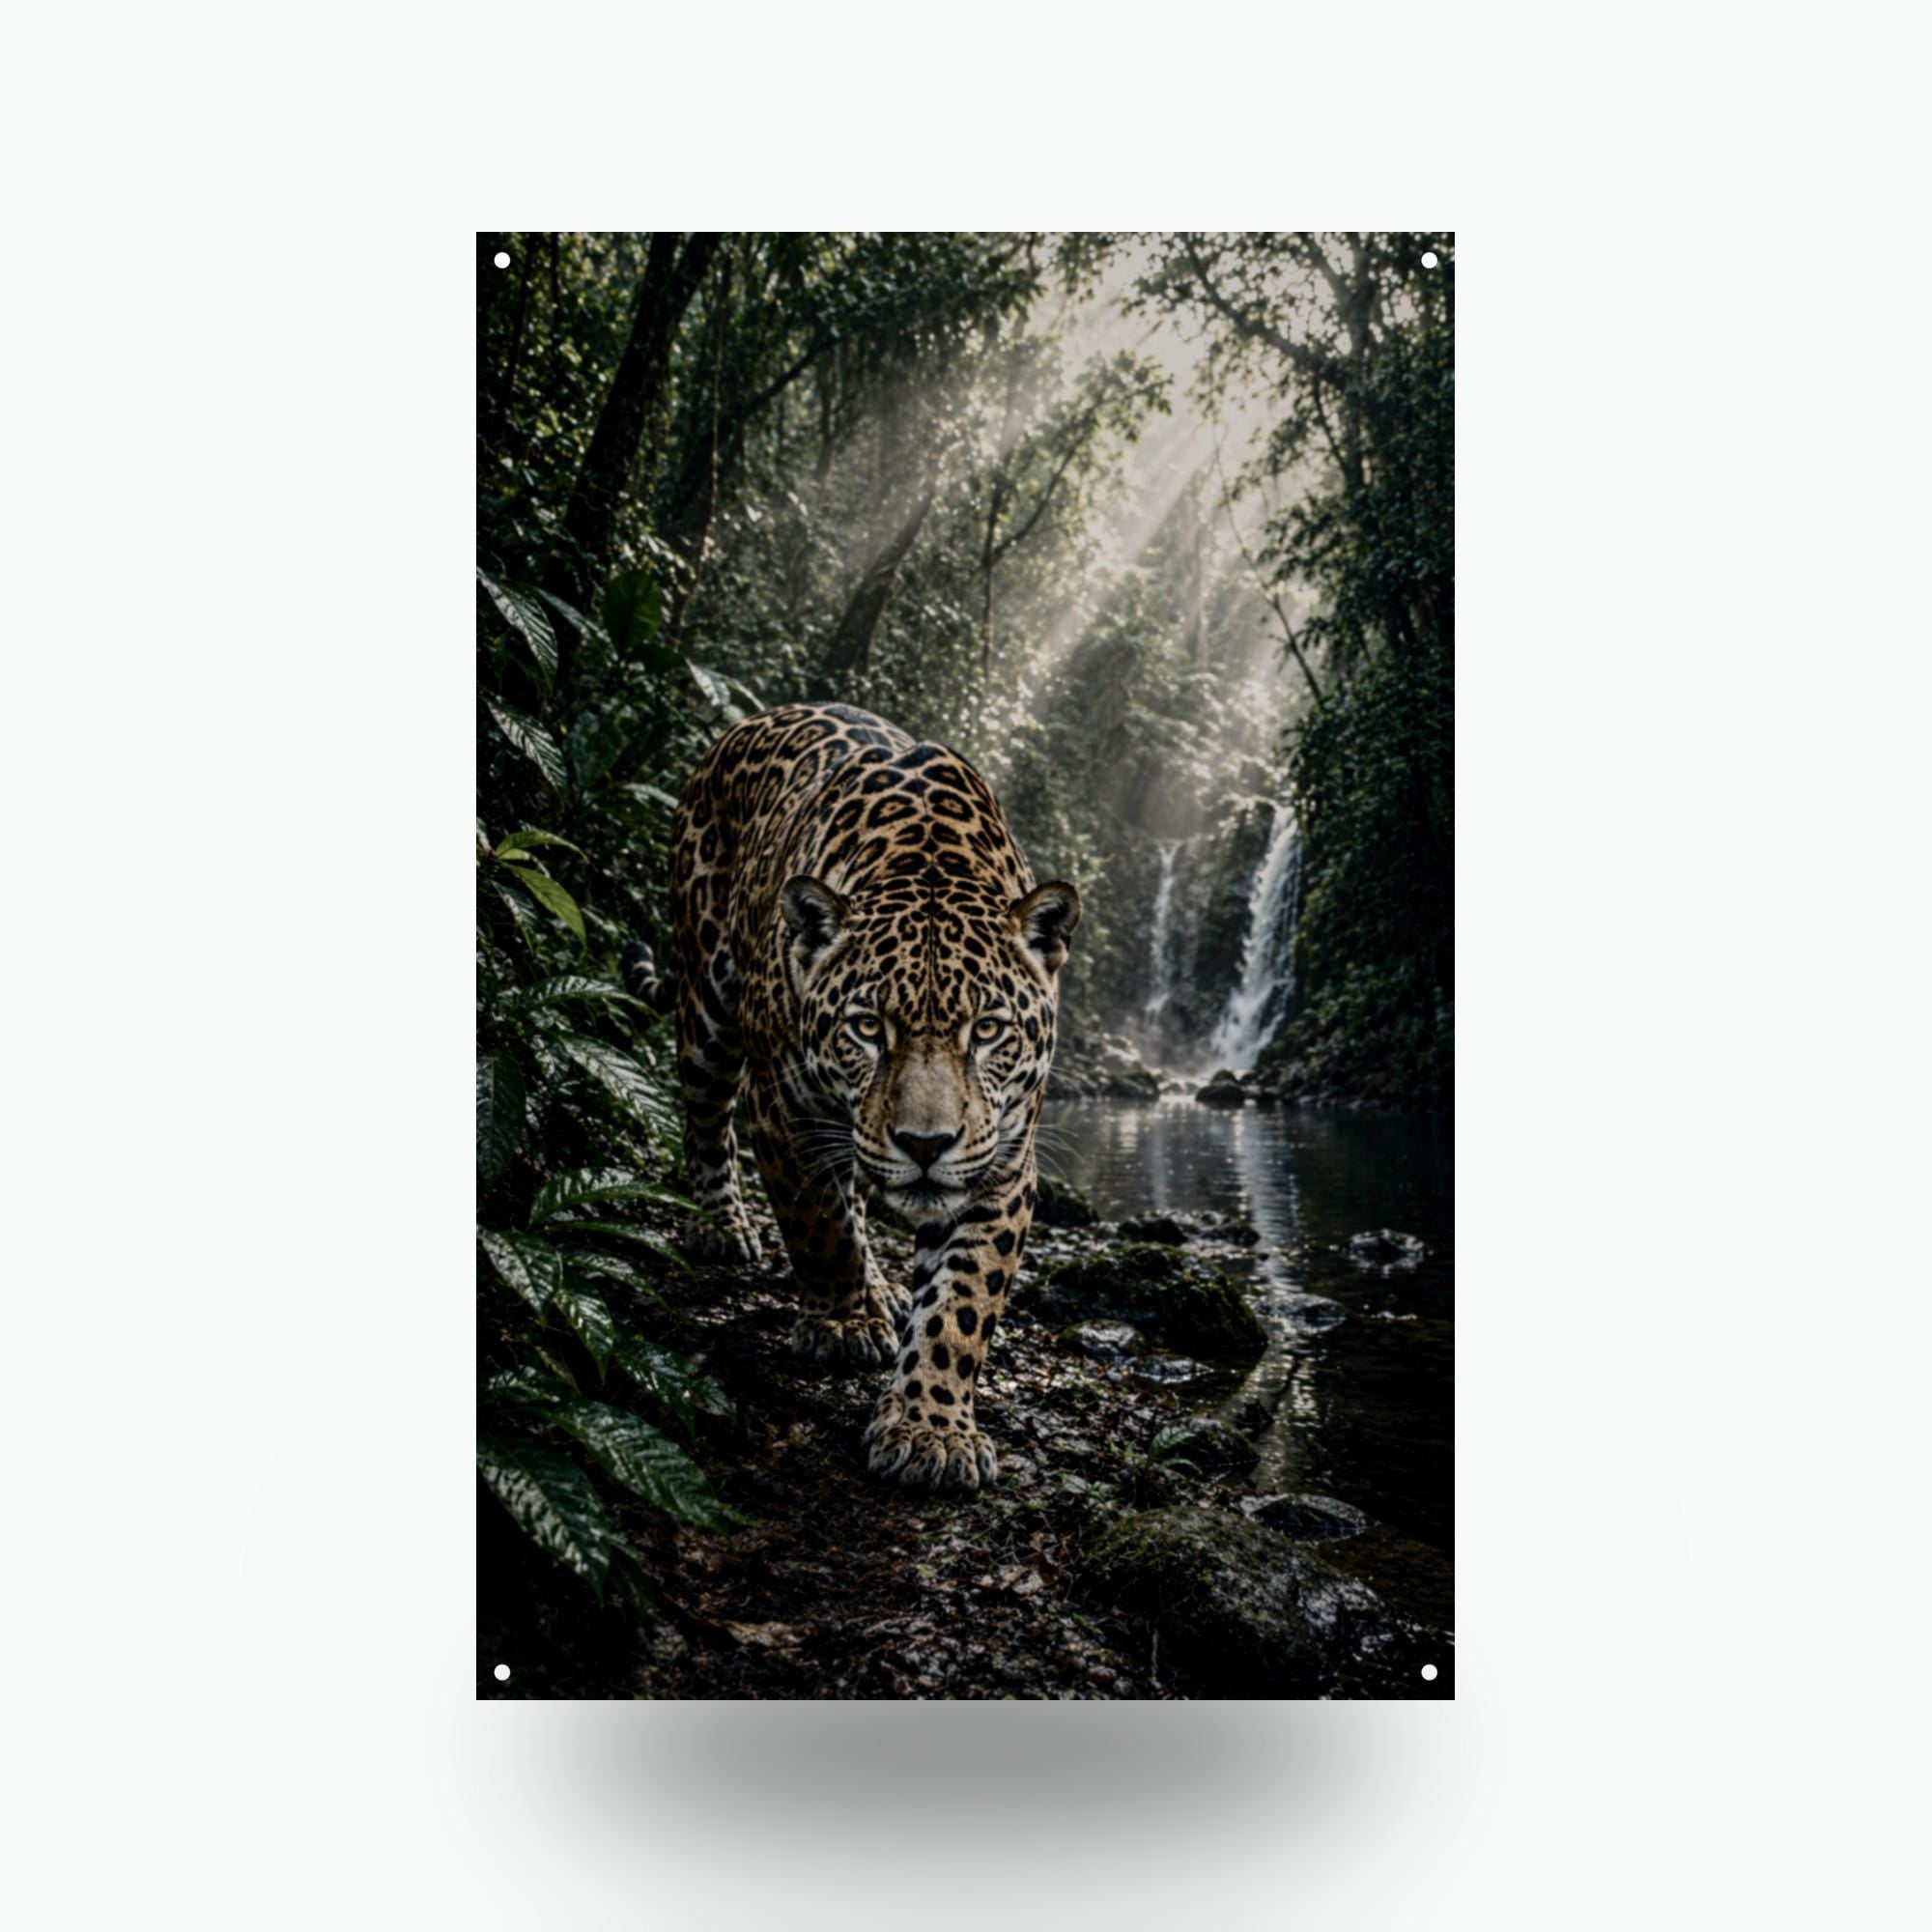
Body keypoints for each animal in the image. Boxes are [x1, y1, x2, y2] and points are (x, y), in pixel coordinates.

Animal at [622, 701, 1080, 1494]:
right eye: (868, 1027)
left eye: (988, 1030)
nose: (926, 1146)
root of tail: (745, 724)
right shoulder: (784, 1111)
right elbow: (820, 1226)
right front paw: (840, 1325)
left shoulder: (1005, 1159)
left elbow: (961, 1303)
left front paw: (932, 1428)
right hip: (707, 1004)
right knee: (706, 1120)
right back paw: (724, 1228)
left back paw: (882, 1291)